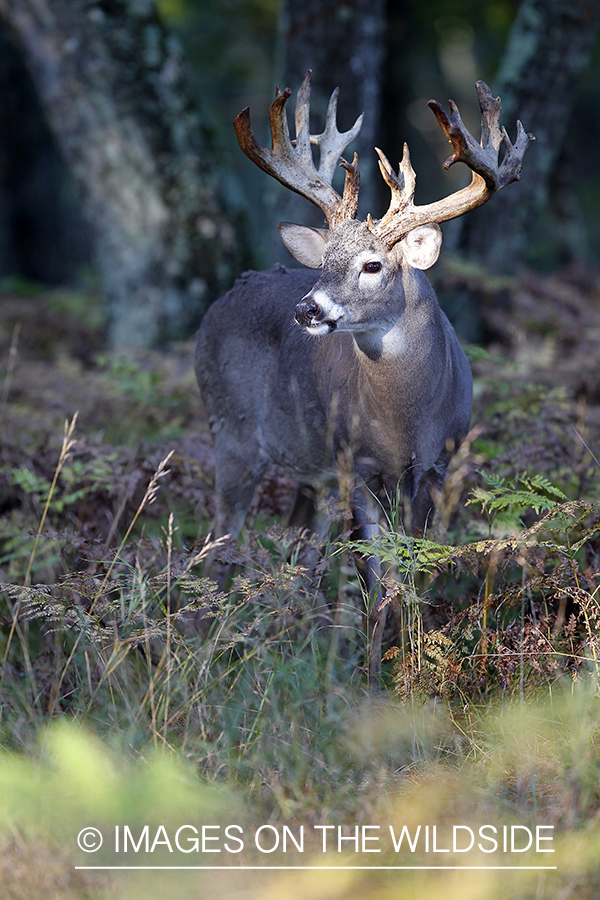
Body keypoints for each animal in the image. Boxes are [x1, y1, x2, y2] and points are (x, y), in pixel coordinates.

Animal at [195, 74, 532, 684]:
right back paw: (205, 645)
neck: (406, 421)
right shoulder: (356, 464)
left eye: (373, 264)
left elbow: (415, 569)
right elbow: (376, 580)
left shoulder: (437, 468)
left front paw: (414, 660)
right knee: (217, 545)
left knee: (297, 553)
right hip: (231, 432)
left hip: (309, 470)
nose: (306, 309)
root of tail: (219, 302)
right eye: (325, 258)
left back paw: (290, 639)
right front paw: (377, 675)